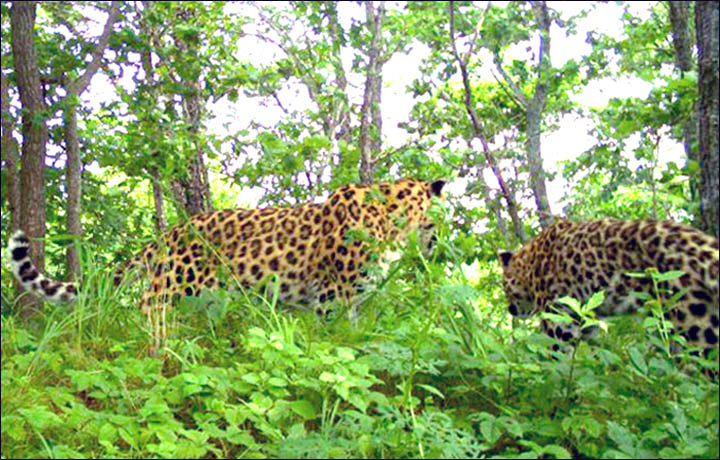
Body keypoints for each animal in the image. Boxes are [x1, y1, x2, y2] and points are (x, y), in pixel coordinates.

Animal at [7, 178, 444, 344]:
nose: (439, 247)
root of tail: (169, 233)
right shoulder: (332, 296)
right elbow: (333, 339)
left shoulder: (351, 300)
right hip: (174, 286)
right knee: (144, 312)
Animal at [500, 220, 720, 362]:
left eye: (504, 286)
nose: (510, 310)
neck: (530, 263)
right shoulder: (584, 320)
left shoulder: (557, 321)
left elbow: (557, 357)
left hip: (697, 327)